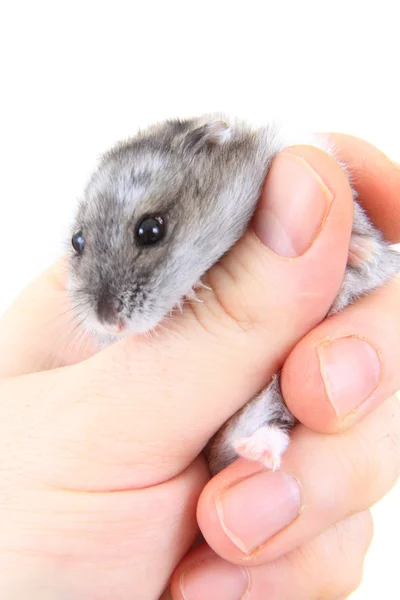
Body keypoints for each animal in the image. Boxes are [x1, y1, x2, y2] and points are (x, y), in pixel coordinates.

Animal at [67, 115, 400, 476]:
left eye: (150, 230)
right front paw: (191, 291)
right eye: (77, 241)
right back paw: (256, 450)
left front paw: (365, 253)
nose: (109, 323)